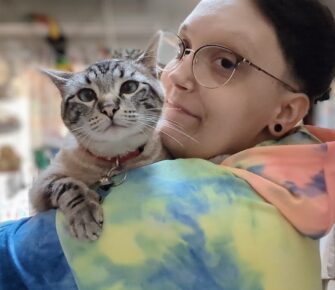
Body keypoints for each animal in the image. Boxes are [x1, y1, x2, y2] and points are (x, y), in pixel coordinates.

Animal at [29, 34, 171, 241]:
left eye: (129, 87)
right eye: (86, 95)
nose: (109, 108)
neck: (113, 162)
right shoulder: (41, 186)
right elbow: (66, 184)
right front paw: (84, 213)